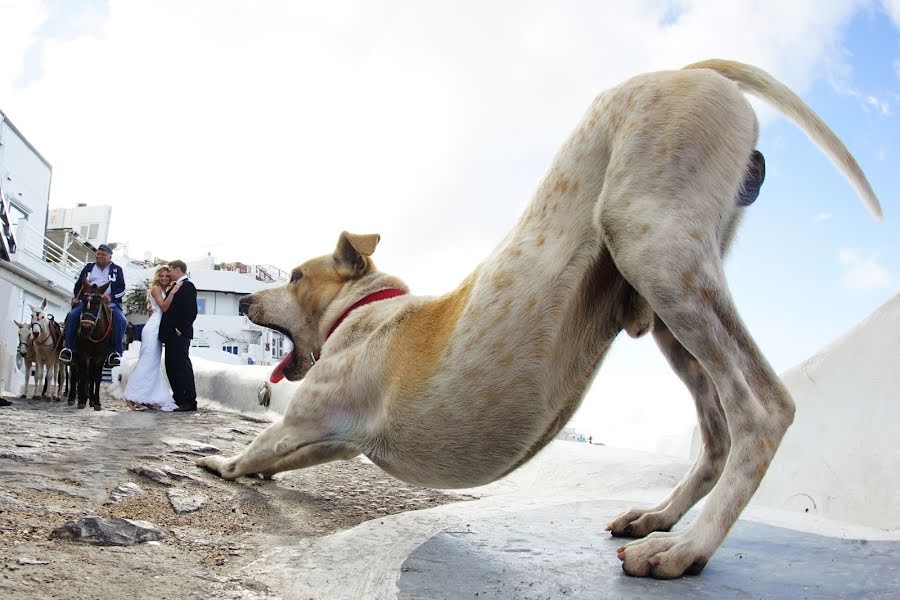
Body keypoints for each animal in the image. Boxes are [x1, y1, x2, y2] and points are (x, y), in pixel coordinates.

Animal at [200, 59, 884, 576]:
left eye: (293, 276)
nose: (244, 302)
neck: (367, 311)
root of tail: (690, 69)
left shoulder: (306, 421)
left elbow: (254, 451)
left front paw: (217, 465)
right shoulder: (332, 441)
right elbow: (275, 460)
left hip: (652, 247)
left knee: (764, 410)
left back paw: (683, 547)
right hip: (667, 303)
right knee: (715, 437)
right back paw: (656, 517)